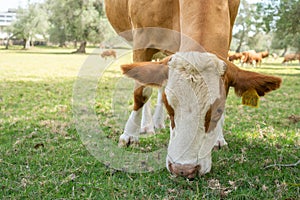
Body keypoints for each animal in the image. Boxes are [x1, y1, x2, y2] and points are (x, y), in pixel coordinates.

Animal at [103, 0, 282, 178]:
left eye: (218, 110)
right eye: (170, 109)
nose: (183, 169)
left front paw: (219, 138)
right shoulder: (142, 39)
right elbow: (141, 93)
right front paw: (129, 135)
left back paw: (157, 122)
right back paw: (147, 125)